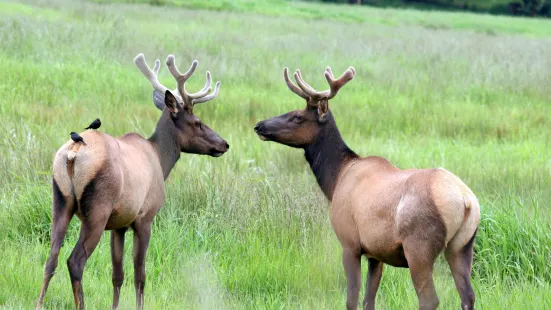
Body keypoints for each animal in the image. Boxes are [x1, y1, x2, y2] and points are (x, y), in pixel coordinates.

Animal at [36, 54, 230, 308]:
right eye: (197, 121)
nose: (224, 143)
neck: (161, 160)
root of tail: (73, 154)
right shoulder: (144, 218)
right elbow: (140, 275)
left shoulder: (118, 225)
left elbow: (117, 275)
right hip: (97, 210)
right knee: (75, 261)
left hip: (61, 200)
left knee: (51, 258)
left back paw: (38, 303)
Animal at [254, 67, 478, 310]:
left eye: (297, 116)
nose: (259, 125)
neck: (336, 179)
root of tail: (466, 201)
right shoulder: (376, 253)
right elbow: (369, 300)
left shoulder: (349, 243)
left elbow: (352, 299)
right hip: (461, 246)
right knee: (468, 295)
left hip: (419, 247)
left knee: (429, 299)